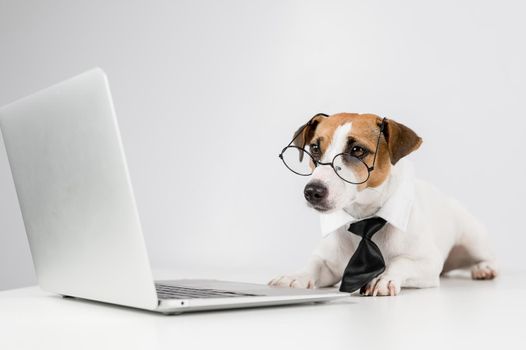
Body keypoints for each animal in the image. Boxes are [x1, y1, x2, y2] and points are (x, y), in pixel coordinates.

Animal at [272, 113, 500, 296]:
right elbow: (314, 265)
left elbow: (401, 261)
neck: (363, 216)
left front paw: (382, 277)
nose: (312, 191)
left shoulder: (428, 262)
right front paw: (296, 276)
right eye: (315, 148)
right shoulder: (329, 263)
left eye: (357, 150)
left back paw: (484, 268)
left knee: (487, 256)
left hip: (472, 238)